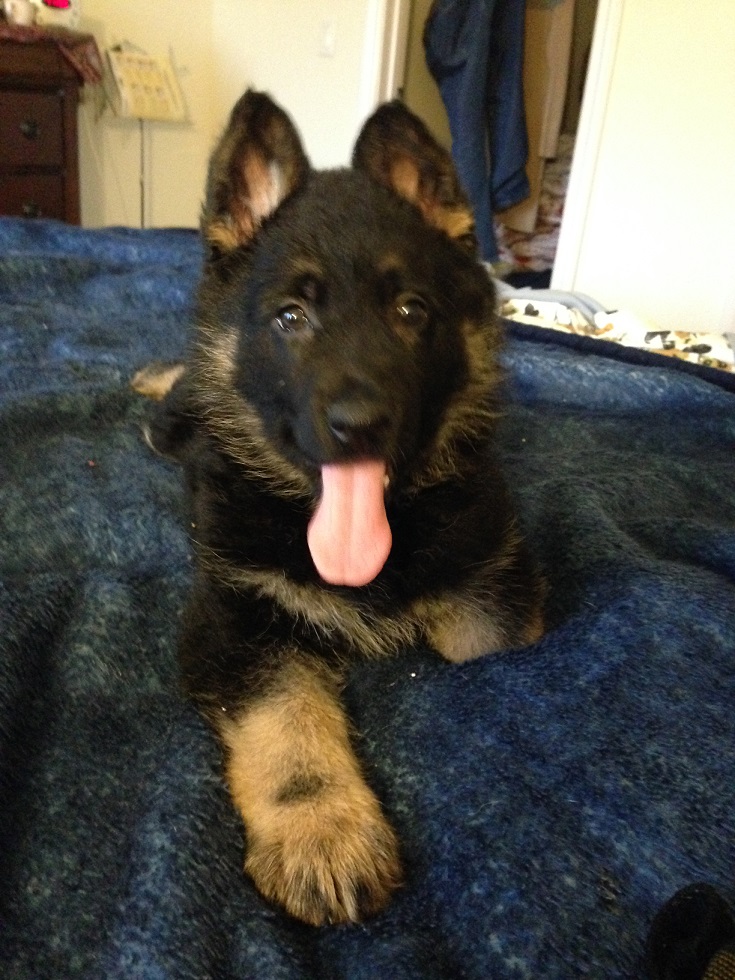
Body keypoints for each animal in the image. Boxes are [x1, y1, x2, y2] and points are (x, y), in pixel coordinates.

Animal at [133, 89, 545, 927]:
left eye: (411, 311)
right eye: (291, 317)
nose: (360, 424)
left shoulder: (491, 585)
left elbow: (487, 652)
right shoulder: (238, 619)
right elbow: (286, 722)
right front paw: (321, 832)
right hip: (177, 423)